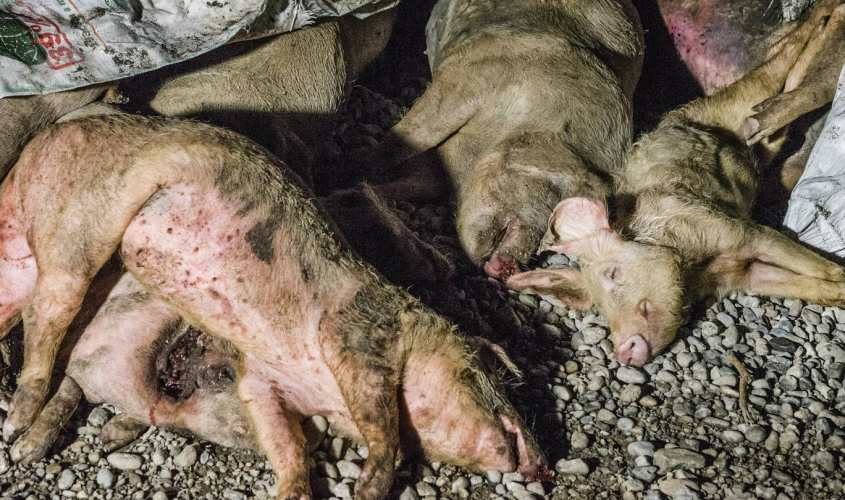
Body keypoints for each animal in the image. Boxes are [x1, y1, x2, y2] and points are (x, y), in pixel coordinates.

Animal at [0, 115, 546, 498]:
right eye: (490, 376)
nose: (541, 466)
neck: (322, 393)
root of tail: (37, 149)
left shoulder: (263, 383)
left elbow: (285, 442)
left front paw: (294, 491)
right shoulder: (357, 336)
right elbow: (381, 420)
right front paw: (368, 489)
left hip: (21, 262)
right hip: (81, 225)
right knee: (46, 315)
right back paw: (16, 425)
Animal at [369, 0, 644, 279]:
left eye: (549, 243)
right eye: (553, 196)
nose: (511, 268)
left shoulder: (440, 165)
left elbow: (418, 180)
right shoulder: (469, 77)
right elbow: (409, 137)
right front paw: (360, 166)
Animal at [507, 0, 845, 367]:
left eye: (613, 273)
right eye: (599, 306)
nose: (622, 350)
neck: (695, 266)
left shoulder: (732, 228)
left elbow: (802, 258)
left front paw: (839, 278)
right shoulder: (741, 274)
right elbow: (803, 285)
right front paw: (837, 295)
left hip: (737, 100)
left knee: (776, 68)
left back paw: (827, 18)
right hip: (761, 135)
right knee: (779, 91)